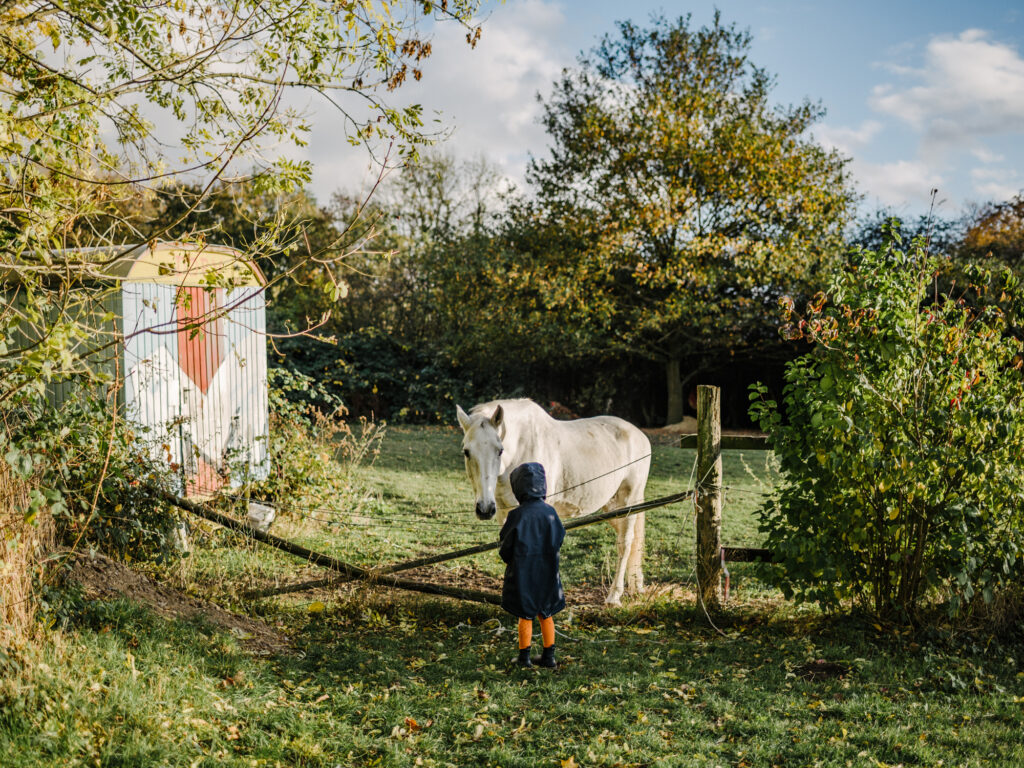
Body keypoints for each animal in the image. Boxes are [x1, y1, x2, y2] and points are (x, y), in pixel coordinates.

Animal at [454, 399, 647, 606]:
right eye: (466, 451)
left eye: (500, 450)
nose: (485, 508)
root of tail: (639, 435)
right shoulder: (504, 513)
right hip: (612, 508)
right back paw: (636, 586)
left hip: (629, 503)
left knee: (625, 544)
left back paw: (614, 596)